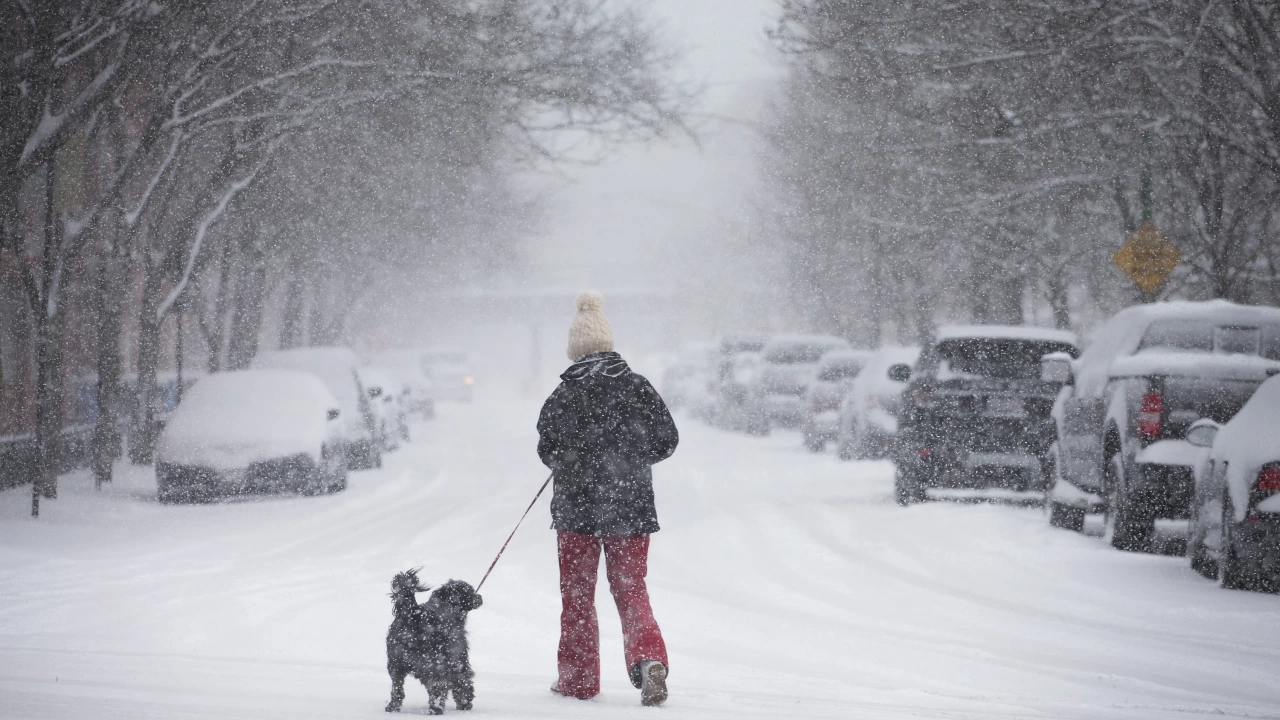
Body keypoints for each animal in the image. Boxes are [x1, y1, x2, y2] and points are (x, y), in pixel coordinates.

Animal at [384, 566, 483, 712]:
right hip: (435, 662)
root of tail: (413, 615)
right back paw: (436, 709)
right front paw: (465, 702)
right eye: (469, 591)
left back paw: (393, 706)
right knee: (437, 688)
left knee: (397, 688)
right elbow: (463, 682)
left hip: (395, 662)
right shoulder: (458, 659)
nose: (480, 597)